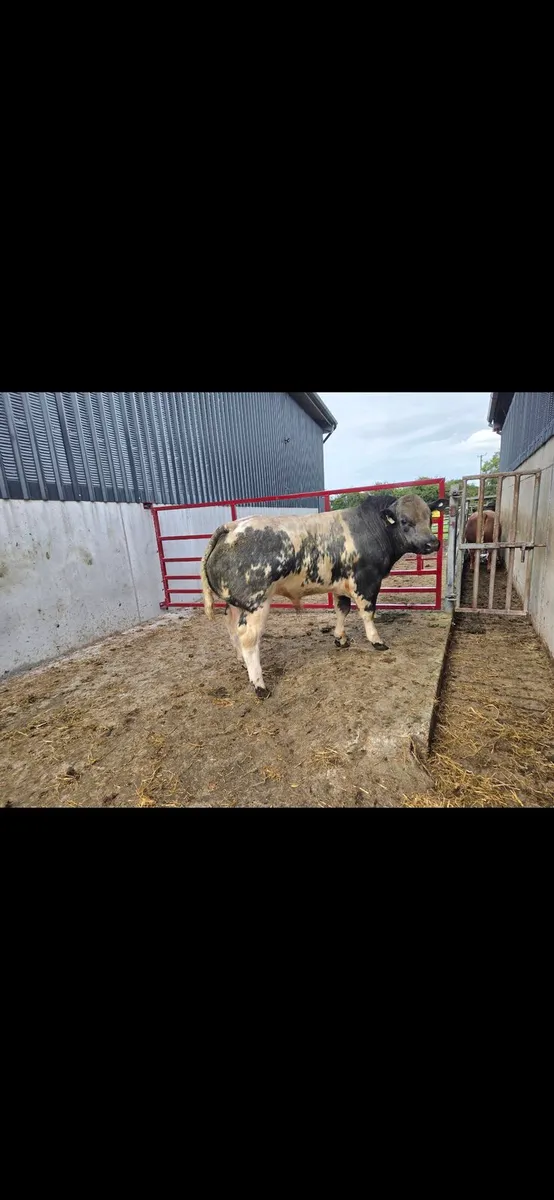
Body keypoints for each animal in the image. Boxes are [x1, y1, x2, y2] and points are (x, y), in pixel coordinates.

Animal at [201, 492, 441, 699]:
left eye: (429, 517)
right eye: (404, 521)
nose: (433, 543)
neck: (371, 528)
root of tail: (232, 526)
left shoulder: (342, 585)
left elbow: (342, 610)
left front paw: (340, 638)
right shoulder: (367, 582)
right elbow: (367, 613)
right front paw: (376, 640)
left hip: (236, 603)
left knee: (232, 628)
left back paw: (241, 660)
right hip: (256, 603)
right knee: (248, 637)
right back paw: (260, 686)